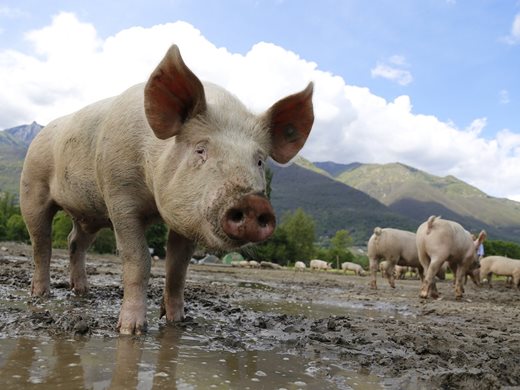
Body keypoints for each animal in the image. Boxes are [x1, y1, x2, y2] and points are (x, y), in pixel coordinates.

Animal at [20, 43, 314, 336]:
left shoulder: (187, 217)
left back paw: (82, 292)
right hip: (32, 187)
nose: (254, 203)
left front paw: (177, 322)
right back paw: (40, 295)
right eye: (201, 150)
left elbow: (178, 268)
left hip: (88, 214)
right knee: (42, 243)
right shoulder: (119, 196)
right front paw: (131, 330)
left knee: (74, 242)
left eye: (259, 160)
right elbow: (138, 260)